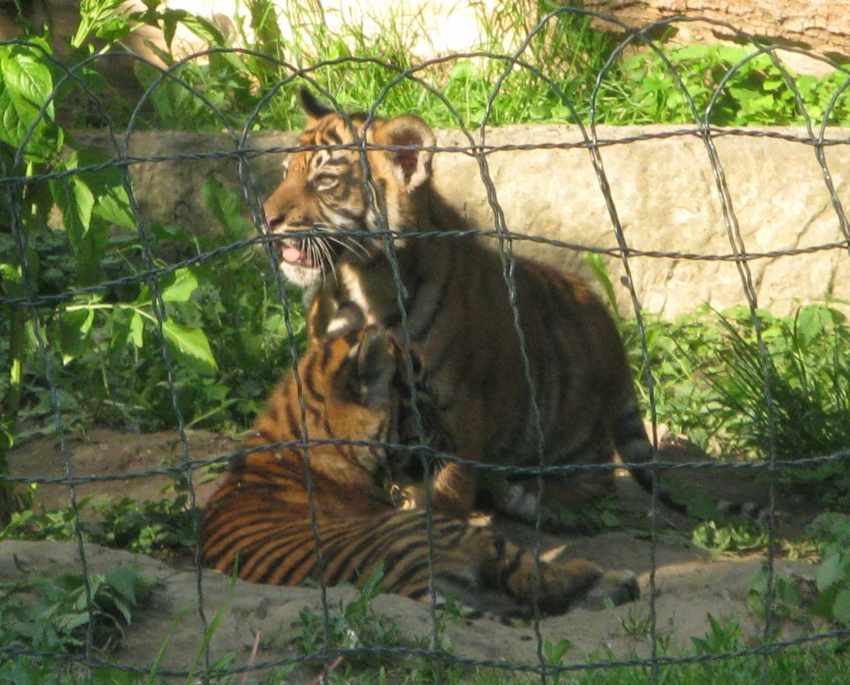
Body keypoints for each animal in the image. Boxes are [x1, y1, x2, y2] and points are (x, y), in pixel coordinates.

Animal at [200, 304, 639, 614]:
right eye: (423, 404)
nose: (455, 444)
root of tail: (407, 584)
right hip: (450, 531)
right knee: (533, 579)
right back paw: (612, 577)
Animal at [260, 87, 685, 528]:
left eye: (325, 181)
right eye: (286, 173)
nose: (265, 218)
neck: (361, 283)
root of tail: (614, 337)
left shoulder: (461, 401)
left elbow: (450, 478)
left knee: (597, 486)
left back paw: (526, 498)